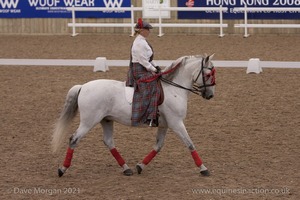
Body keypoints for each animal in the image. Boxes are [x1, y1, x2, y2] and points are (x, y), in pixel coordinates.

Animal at [51, 53, 216, 177]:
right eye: (208, 74)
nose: (210, 95)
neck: (173, 90)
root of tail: (83, 86)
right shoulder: (177, 123)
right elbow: (190, 144)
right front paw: (204, 169)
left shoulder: (165, 125)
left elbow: (158, 146)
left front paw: (140, 166)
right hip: (88, 122)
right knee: (74, 139)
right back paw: (62, 169)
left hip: (106, 120)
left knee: (109, 141)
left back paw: (126, 168)